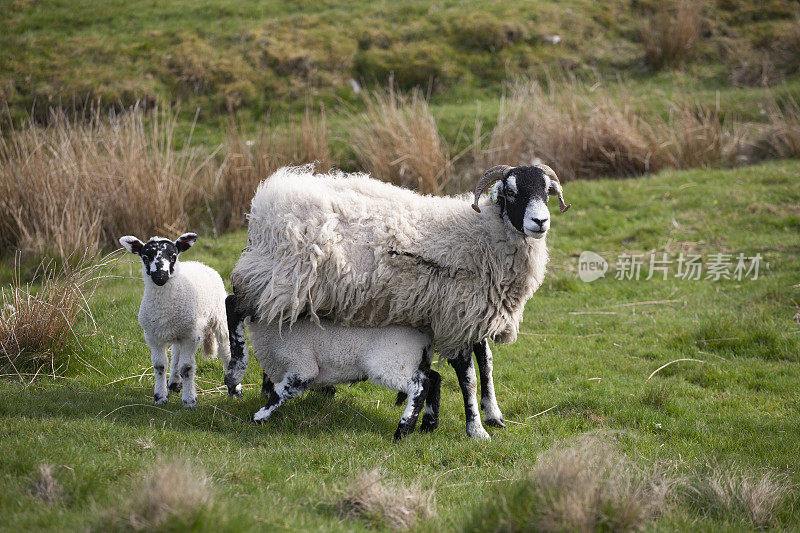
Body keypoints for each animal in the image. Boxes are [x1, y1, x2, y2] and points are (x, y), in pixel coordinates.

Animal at [119, 233, 231, 408]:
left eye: (173, 256)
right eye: (145, 257)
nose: (160, 277)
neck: (164, 308)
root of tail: (199, 263)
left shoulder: (191, 336)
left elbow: (186, 367)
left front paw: (190, 401)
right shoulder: (153, 337)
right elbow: (160, 366)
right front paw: (159, 397)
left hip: (219, 315)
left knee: (225, 349)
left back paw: (235, 389)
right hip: (179, 329)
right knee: (176, 355)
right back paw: (174, 383)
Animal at [247, 316, 440, 440]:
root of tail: (425, 339)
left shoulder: (302, 366)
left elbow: (280, 393)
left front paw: (258, 417)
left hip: (391, 363)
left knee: (420, 386)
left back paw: (403, 429)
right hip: (413, 363)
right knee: (434, 378)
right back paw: (429, 424)